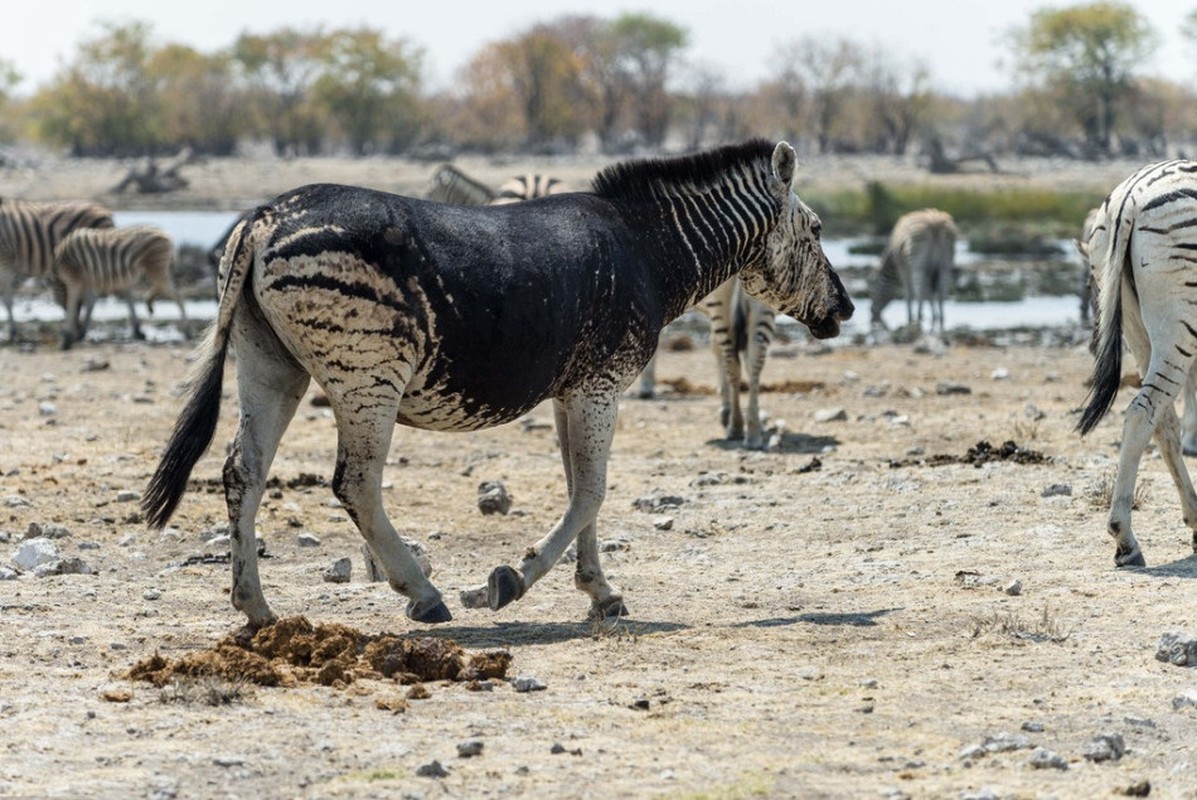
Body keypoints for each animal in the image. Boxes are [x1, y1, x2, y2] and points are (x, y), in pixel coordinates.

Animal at [0, 198, 113, 340]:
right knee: (91, 297)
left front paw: (13, 332)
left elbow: (7, 299)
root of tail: (104, 211)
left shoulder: (5, 259)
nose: (76, 331)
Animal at [54, 225, 186, 349]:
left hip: (155, 266)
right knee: (164, 288)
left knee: (175, 294)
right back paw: (149, 303)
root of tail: (165, 234)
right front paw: (79, 333)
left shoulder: (74, 279)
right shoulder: (86, 280)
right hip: (156, 268)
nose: (76, 331)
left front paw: (67, 340)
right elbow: (89, 302)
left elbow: (72, 305)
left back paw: (187, 330)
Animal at [636, 276, 775, 450]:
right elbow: (718, 348)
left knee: (732, 360)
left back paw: (736, 426)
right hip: (764, 301)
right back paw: (753, 432)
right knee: (755, 358)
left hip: (719, 300)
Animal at [1082, 158, 1197, 567]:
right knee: (1142, 413)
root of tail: (1130, 197)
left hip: (1135, 326)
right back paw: (1125, 538)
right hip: (1177, 322)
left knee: (1162, 422)